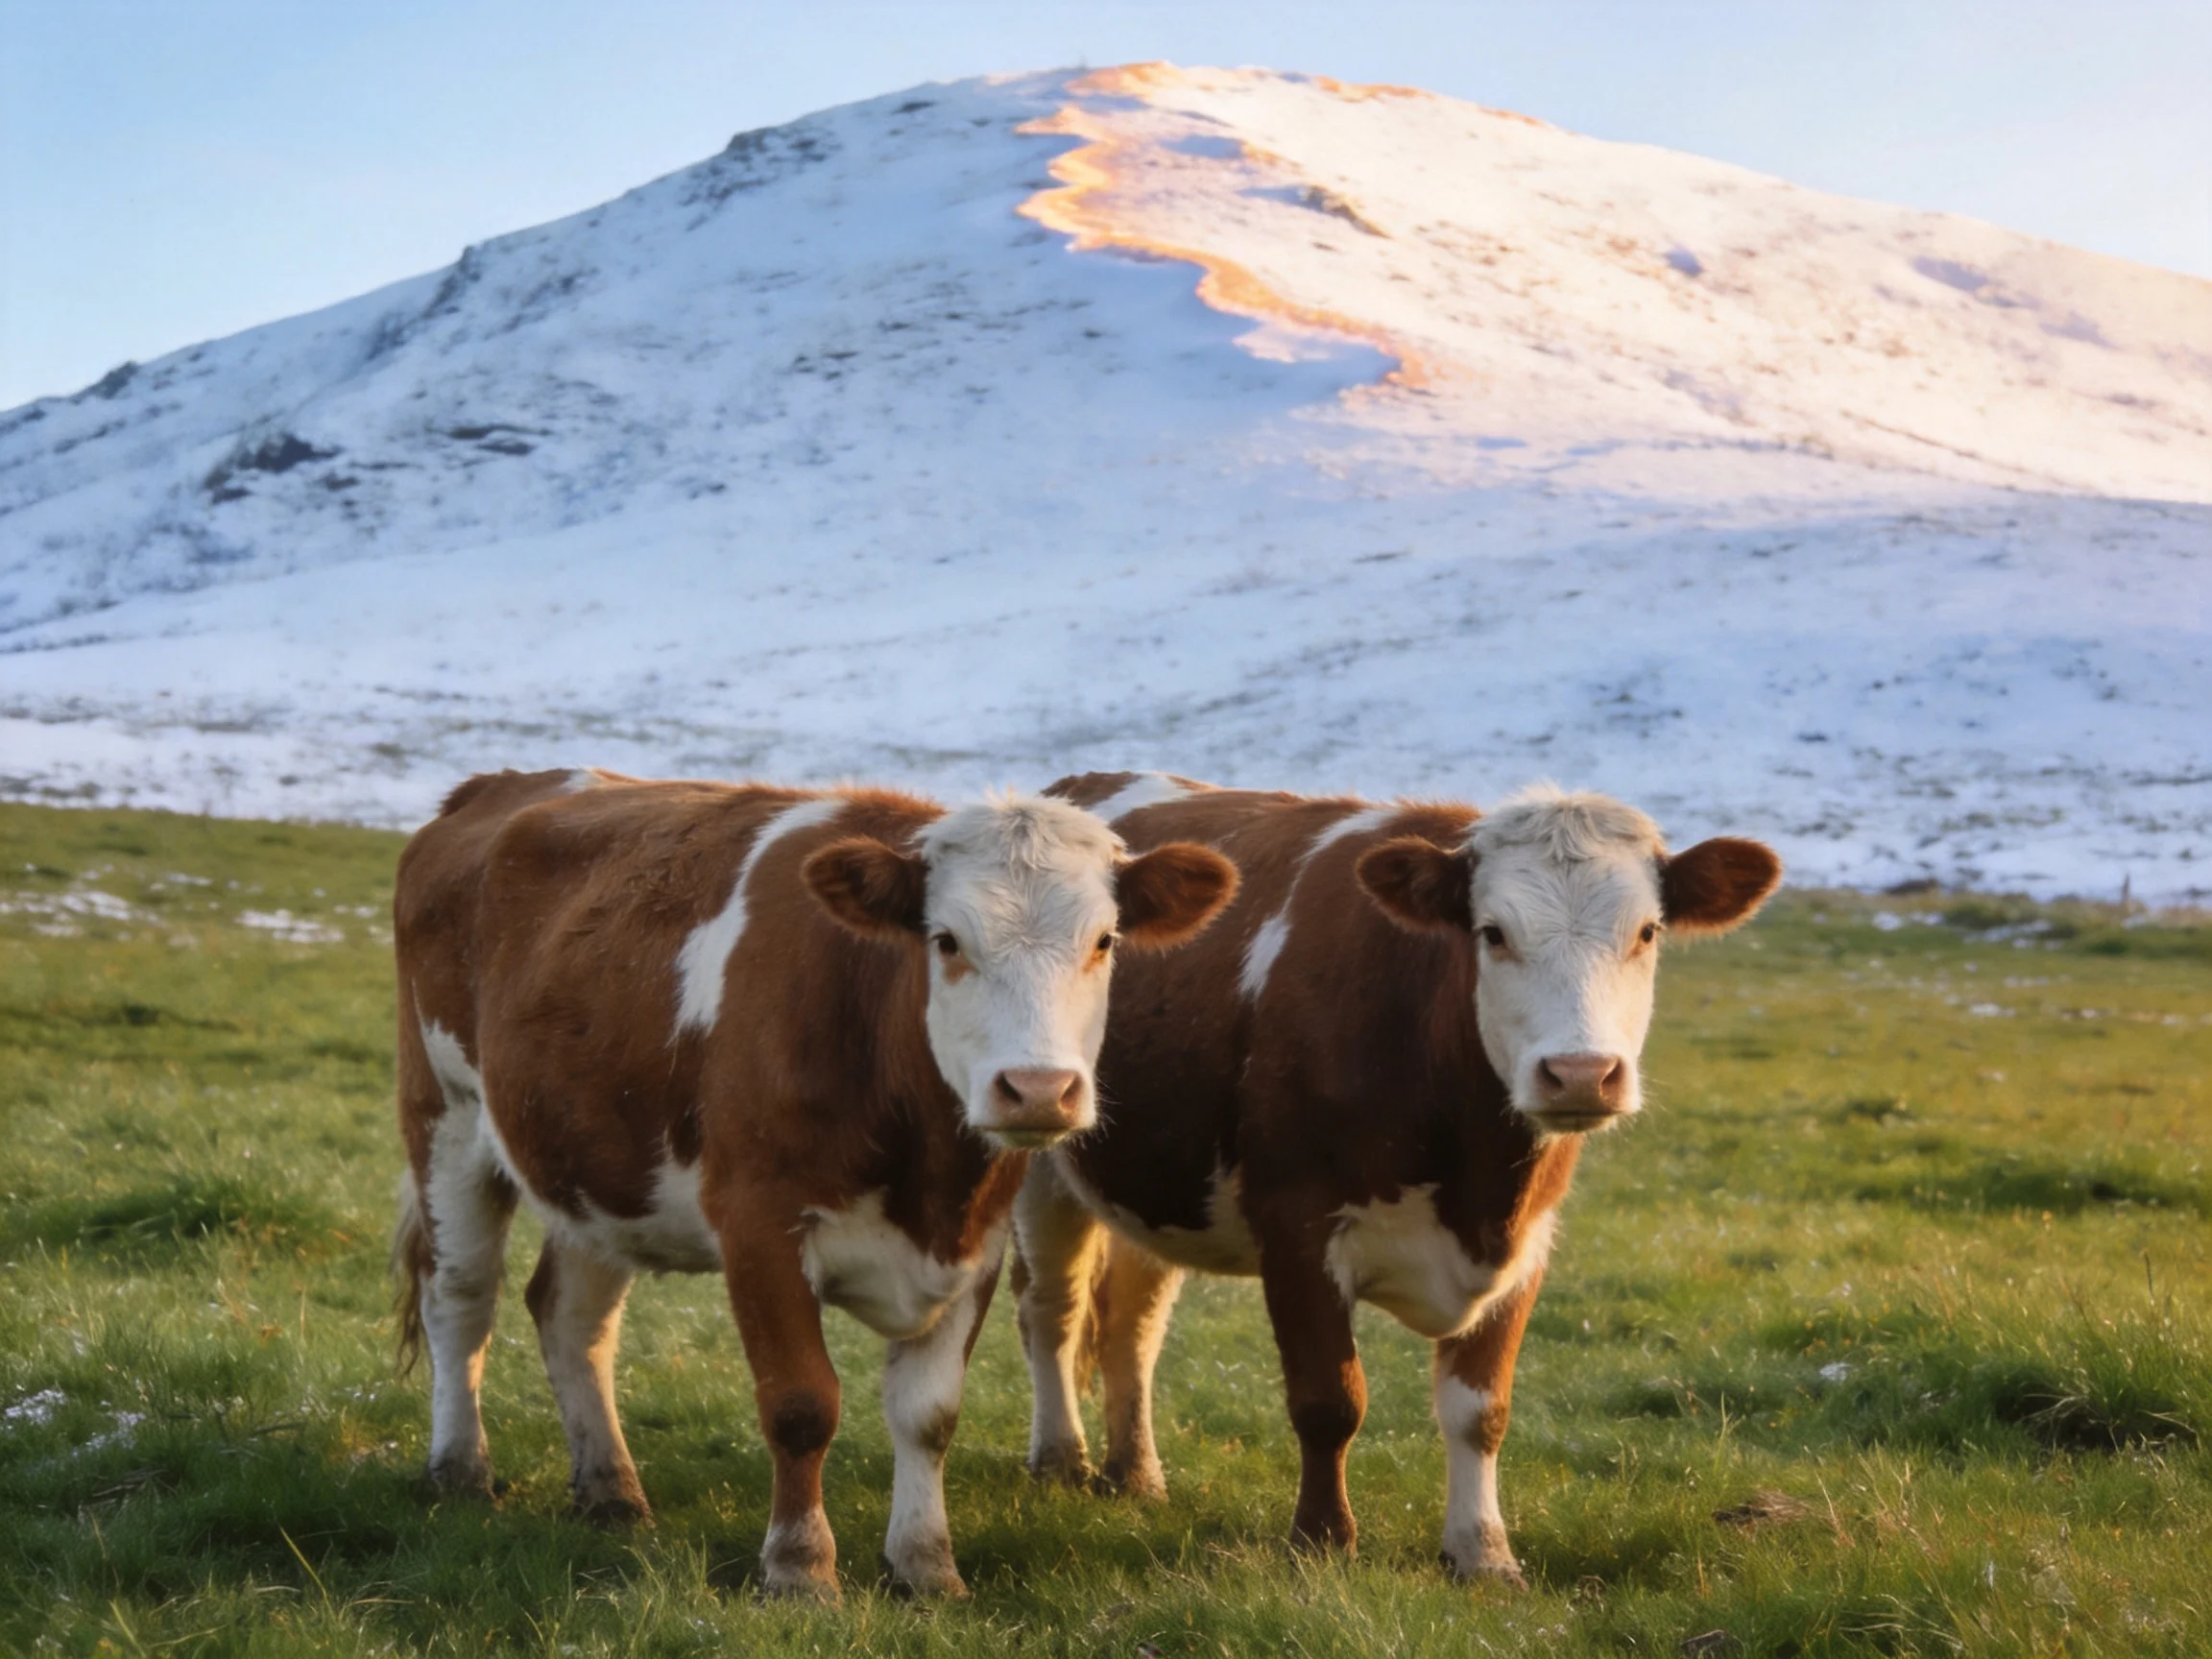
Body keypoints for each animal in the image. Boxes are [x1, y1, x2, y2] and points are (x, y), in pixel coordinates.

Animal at [389, 768, 1236, 1599]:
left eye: (1104, 940)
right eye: (946, 939)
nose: (1036, 1089)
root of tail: (497, 786)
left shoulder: (978, 1240)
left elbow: (930, 1413)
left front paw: (926, 1566)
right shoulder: (759, 1225)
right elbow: (801, 1404)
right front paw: (800, 1567)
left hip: (599, 1171)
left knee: (571, 1315)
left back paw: (610, 1489)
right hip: (446, 1114)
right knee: (459, 1294)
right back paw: (461, 1468)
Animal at [1012, 771, 1780, 1584]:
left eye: (1647, 932)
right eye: (1493, 932)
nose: (1580, 1074)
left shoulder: (1529, 1242)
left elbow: (1480, 1410)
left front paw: (1483, 1553)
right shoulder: (1297, 1226)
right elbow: (1329, 1401)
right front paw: (1322, 1542)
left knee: (1132, 1321)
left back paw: (1136, 1474)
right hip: (1036, 1158)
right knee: (1052, 1308)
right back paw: (1060, 1459)